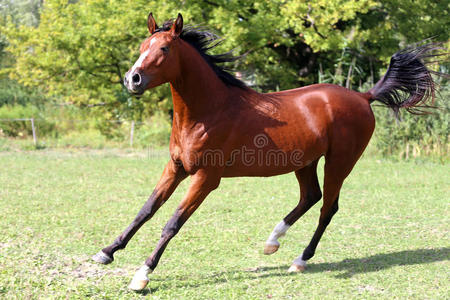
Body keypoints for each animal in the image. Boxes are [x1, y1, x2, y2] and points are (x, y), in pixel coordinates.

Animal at [91, 12, 440, 292]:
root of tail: (363, 97)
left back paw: (300, 259)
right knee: (310, 197)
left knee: (328, 207)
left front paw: (142, 275)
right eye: (141, 47)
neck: (209, 111)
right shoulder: (175, 167)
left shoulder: (206, 178)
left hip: (339, 163)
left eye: (164, 49)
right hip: (305, 162)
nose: (132, 79)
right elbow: (146, 210)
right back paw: (273, 242)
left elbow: (172, 222)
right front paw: (106, 252)